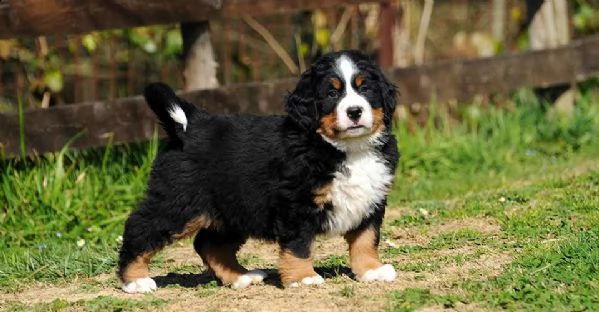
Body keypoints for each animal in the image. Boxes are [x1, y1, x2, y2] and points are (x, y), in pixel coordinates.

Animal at [116, 49, 398, 292]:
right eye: (331, 93)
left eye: (365, 88)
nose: (354, 111)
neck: (347, 148)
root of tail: (188, 126)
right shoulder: (296, 204)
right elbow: (300, 245)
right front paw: (303, 277)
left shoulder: (371, 200)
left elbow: (366, 239)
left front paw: (371, 270)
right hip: (178, 202)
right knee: (139, 228)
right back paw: (135, 280)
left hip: (233, 209)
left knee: (208, 244)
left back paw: (240, 277)